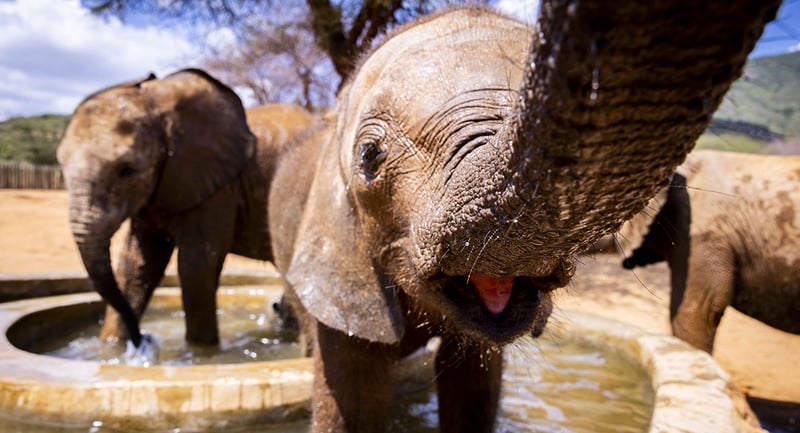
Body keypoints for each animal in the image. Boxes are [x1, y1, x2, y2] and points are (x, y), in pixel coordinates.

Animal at [57, 72, 316, 349]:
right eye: (60, 164)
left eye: (126, 170)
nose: (144, 339)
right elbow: (136, 263)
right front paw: (112, 347)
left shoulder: (218, 187)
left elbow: (196, 265)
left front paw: (200, 352)